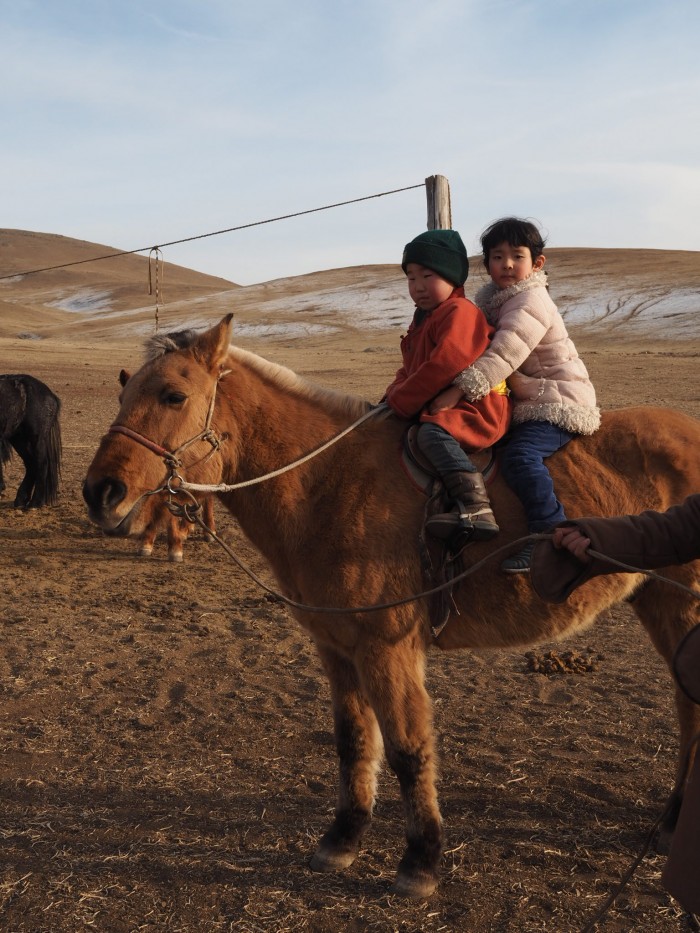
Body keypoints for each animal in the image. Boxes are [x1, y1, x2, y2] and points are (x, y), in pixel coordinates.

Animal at [0, 374, 62, 510]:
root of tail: (51, 396)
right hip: (19, 439)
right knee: (31, 464)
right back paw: (21, 500)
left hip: (36, 438)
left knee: (41, 463)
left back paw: (35, 503)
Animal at [82, 316, 700, 900]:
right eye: (123, 393)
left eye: (173, 396)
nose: (100, 492)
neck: (326, 484)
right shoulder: (336, 647)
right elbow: (354, 741)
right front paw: (343, 838)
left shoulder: (388, 648)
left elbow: (406, 749)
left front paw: (421, 861)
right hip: (659, 601)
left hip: (682, 608)